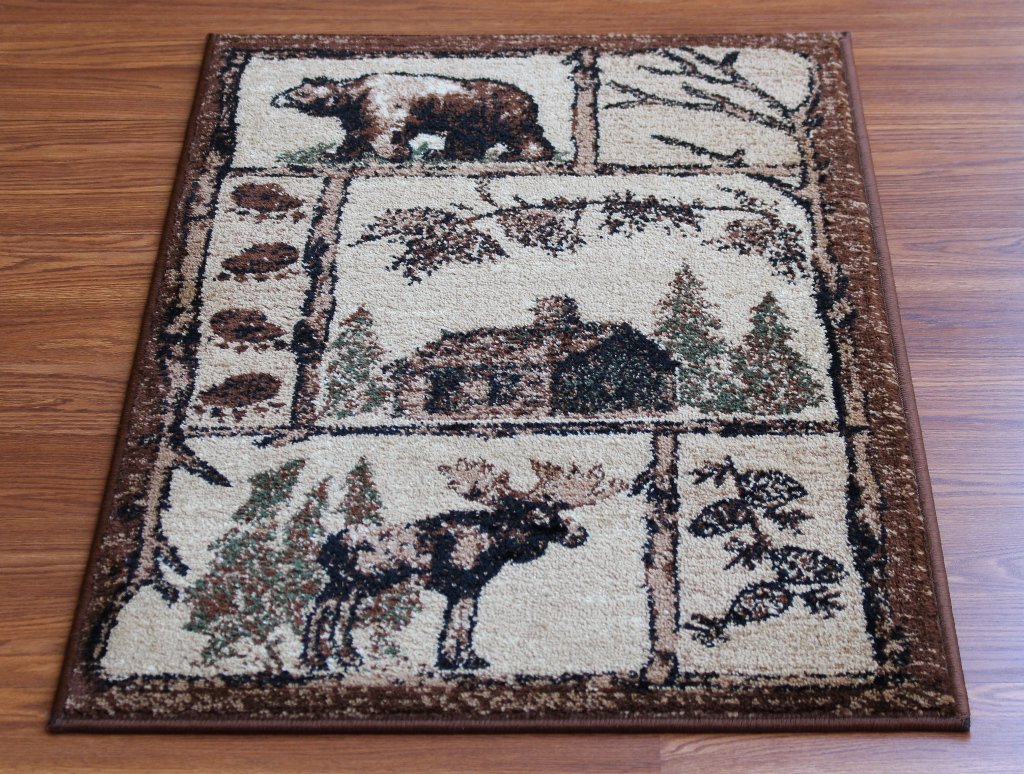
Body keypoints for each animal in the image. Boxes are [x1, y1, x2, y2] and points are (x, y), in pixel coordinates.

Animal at [271, 74, 556, 163]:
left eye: (297, 93)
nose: (276, 99)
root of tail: (529, 101)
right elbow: (354, 137)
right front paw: (333, 153)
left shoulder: (383, 106)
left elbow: (384, 132)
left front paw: (396, 152)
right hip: (474, 120)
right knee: (466, 141)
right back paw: (440, 153)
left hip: (503, 116)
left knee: (525, 137)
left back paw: (521, 153)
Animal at [303, 458, 628, 671]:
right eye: (538, 518)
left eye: (553, 514)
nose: (579, 533)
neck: (492, 546)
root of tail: (327, 548)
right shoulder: (461, 582)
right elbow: (457, 623)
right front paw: (451, 660)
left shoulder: (471, 587)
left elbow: (464, 622)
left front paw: (467, 659)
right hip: (356, 580)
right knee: (328, 609)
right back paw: (327, 657)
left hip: (352, 584)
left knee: (332, 609)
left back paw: (328, 657)